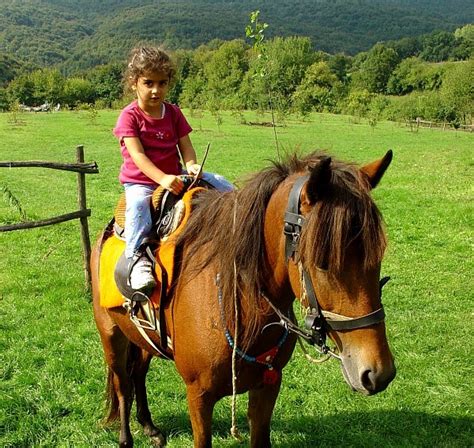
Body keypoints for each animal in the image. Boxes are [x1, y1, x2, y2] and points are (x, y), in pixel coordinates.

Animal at [91, 151, 396, 448]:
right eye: (322, 262)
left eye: (377, 256)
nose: (378, 373)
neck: (241, 303)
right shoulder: (198, 395)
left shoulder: (268, 385)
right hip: (111, 334)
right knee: (122, 383)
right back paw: (126, 437)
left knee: (138, 373)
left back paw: (149, 426)